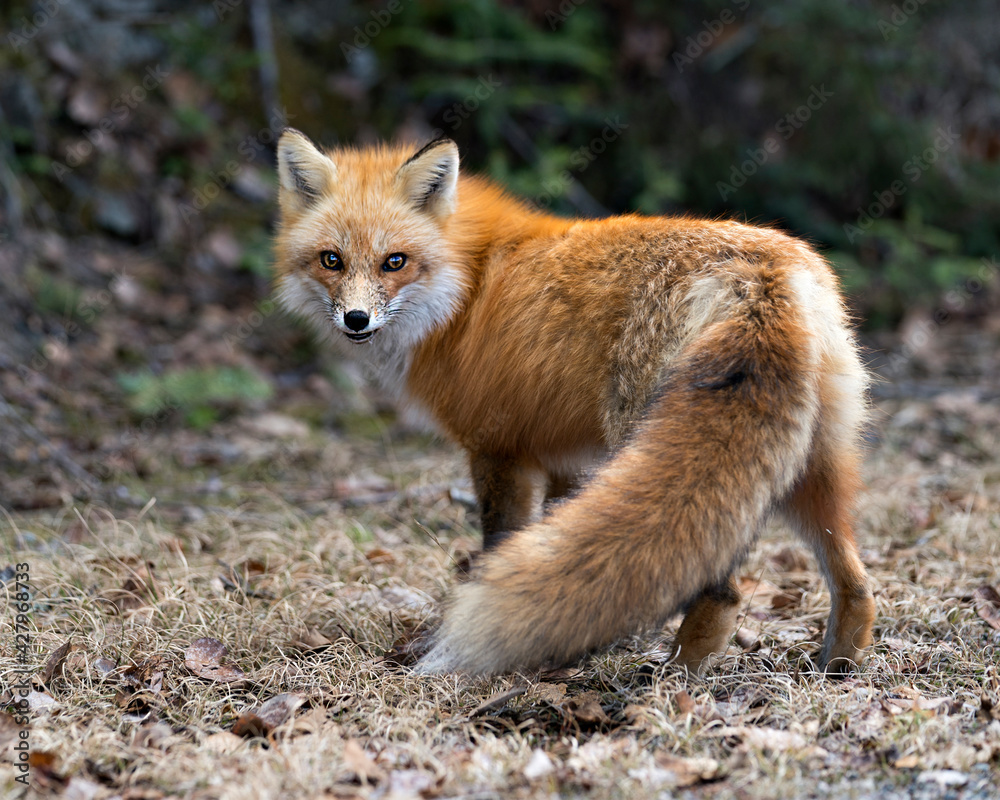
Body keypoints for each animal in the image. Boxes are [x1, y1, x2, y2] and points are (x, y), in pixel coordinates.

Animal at [272, 130, 876, 676]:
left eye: (394, 262)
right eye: (331, 260)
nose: (355, 320)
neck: (467, 286)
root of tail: (761, 274)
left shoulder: (498, 449)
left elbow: (501, 546)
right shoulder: (568, 459)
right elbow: (555, 546)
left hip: (656, 442)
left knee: (723, 592)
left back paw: (674, 677)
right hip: (812, 467)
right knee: (857, 583)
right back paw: (836, 667)